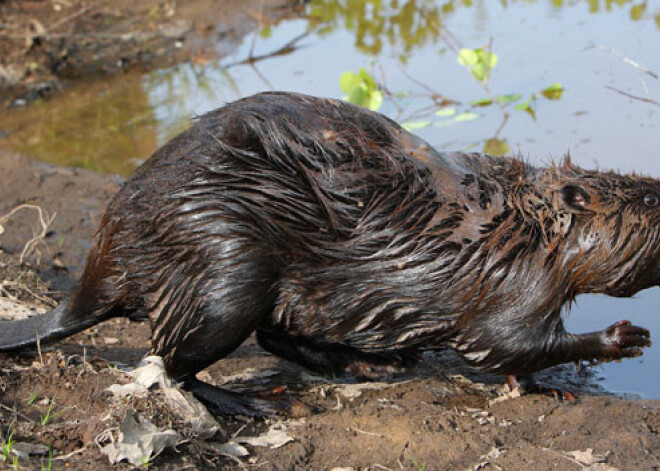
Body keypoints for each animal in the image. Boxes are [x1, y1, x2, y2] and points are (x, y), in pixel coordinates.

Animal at [0, 92, 652, 416]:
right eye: (647, 197)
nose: (658, 192)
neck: (526, 225)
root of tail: (94, 278)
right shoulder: (514, 281)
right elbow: (503, 343)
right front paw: (625, 338)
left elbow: (514, 357)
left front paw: (550, 388)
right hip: (225, 265)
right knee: (171, 363)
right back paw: (257, 403)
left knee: (272, 333)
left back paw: (370, 364)